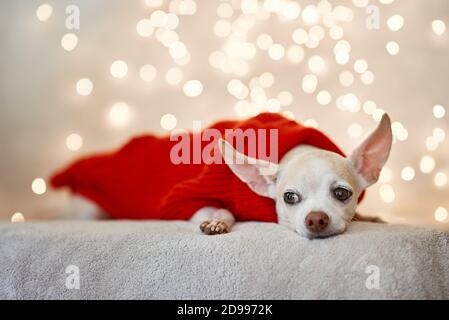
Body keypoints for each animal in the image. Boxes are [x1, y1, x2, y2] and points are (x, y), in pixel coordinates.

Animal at [191, 114, 390, 238]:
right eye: (290, 197)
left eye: (341, 193)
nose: (316, 219)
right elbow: (224, 210)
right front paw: (217, 221)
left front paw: (369, 217)